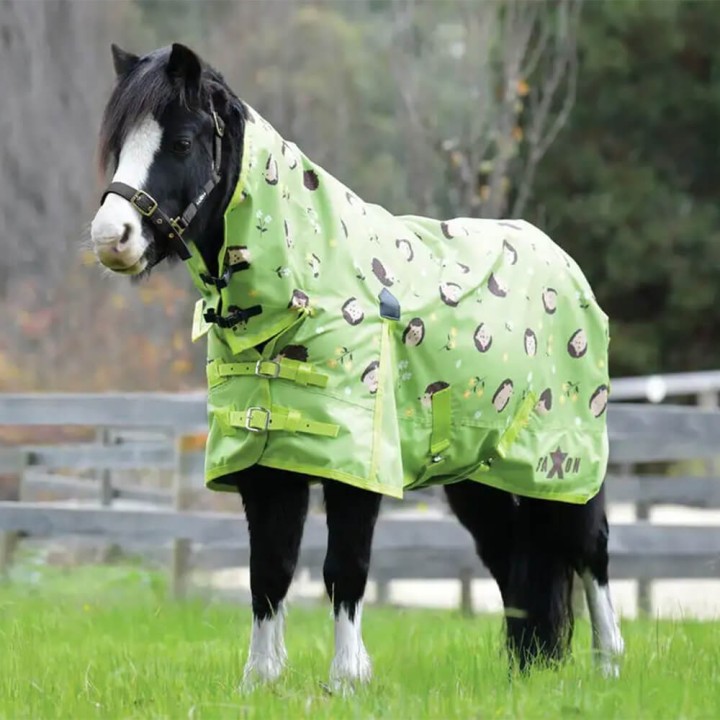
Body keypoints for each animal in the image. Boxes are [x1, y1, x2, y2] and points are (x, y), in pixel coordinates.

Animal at [89, 43, 624, 691]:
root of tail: (563, 263)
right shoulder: (267, 464)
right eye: (120, 144)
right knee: (511, 554)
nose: (111, 237)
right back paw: (526, 666)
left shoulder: (357, 466)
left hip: (564, 462)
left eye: (183, 142)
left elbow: (344, 567)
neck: (304, 283)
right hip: (481, 475)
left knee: (589, 548)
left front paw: (346, 678)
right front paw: (260, 680)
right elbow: (268, 570)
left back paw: (608, 664)